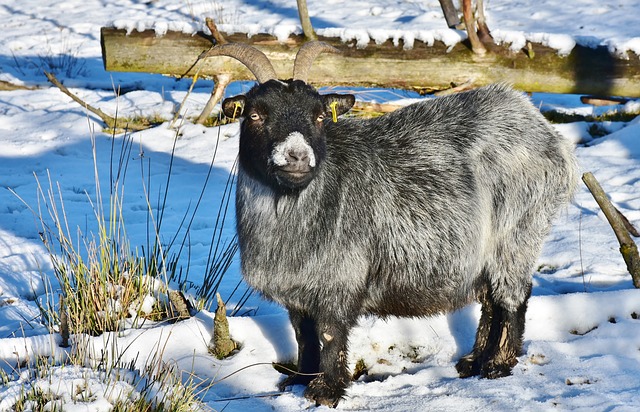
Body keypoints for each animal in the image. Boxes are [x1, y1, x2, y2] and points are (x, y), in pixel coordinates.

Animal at [206, 40, 580, 408]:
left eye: (319, 116)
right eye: (256, 114)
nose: (297, 156)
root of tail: (547, 132)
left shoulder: (339, 280)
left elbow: (329, 332)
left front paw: (327, 391)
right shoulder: (298, 291)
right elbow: (303, 333)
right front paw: (300, 380)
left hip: (518, 232)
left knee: (513, 297)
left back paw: (498, 364)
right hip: (487, 252)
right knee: (490, 300)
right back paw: (473, 361)